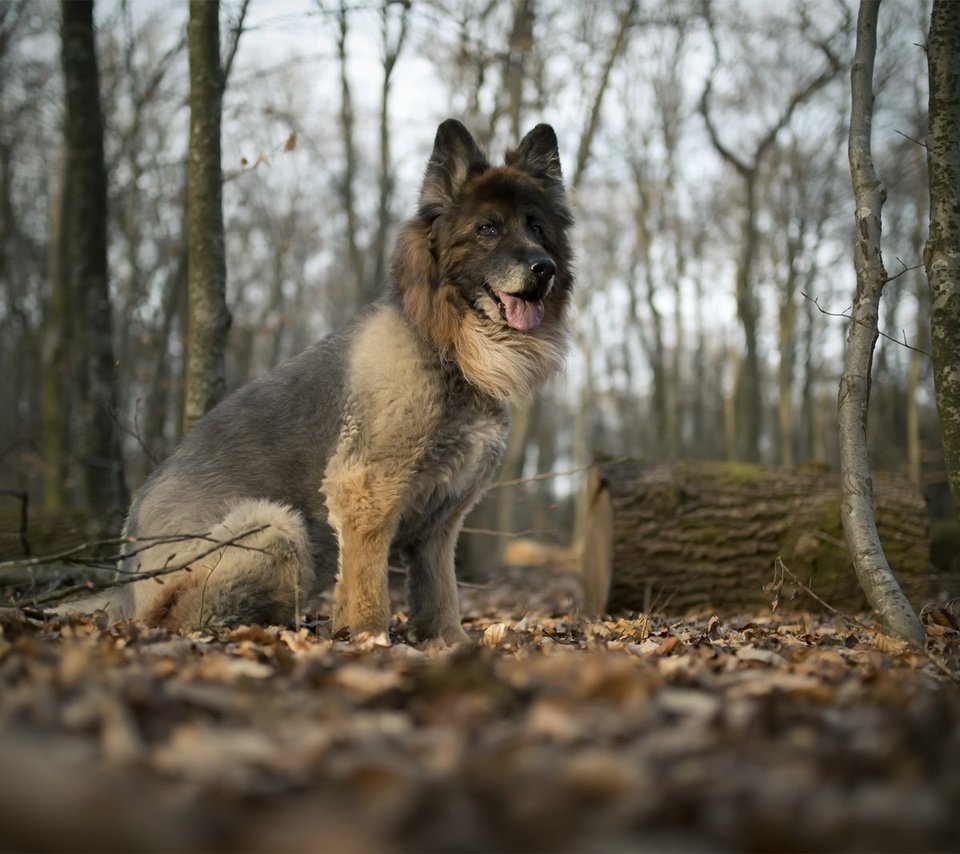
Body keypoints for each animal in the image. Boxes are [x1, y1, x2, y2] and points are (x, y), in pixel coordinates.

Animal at [116, 118, 572, 640]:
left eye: (536, 227)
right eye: (487, 228)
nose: (544, 268)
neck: (444, 346)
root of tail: (123, 587)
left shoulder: (441, 521)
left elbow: (440, 593)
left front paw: (448, 642)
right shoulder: (366, 495)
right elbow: (367, 584)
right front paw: (370, 638)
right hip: (274, 526)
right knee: (189, 615)